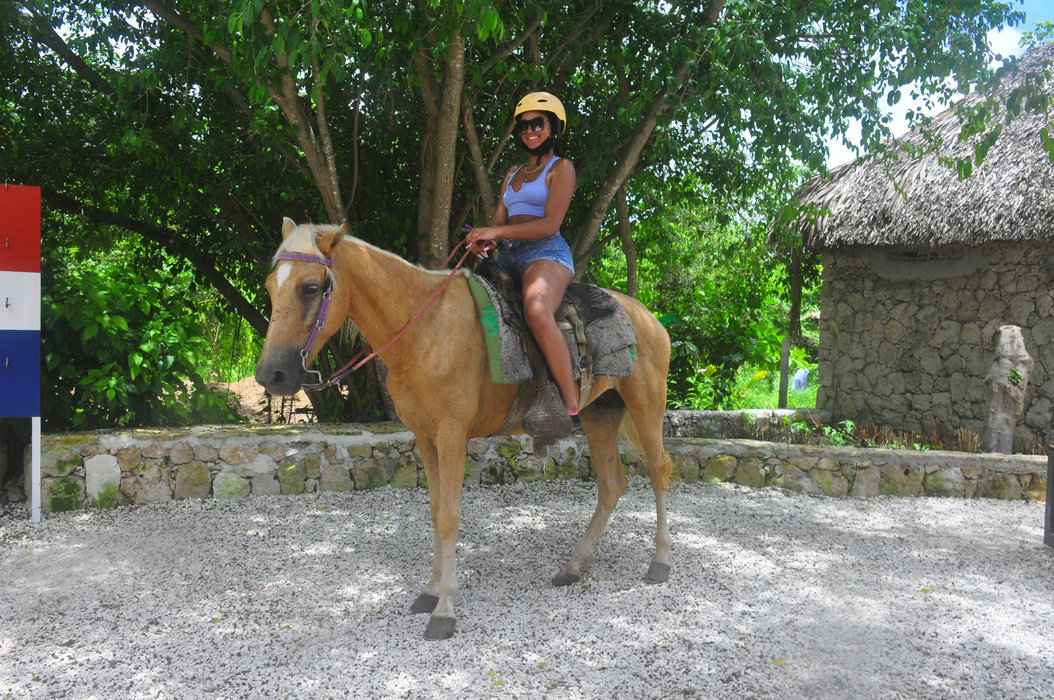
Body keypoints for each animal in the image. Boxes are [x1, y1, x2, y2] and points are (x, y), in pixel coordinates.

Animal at [250, 219, 670, 640]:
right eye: (270, 285)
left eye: (310, 287)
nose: (272, 375)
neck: (425, 330)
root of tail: (648, 317)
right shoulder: (425, 437)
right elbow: (436, 512)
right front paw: (429, 592)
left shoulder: (451, 434)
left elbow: (450, 517)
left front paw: (445, 609)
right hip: (600, 413)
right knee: (612, 484)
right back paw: (574, 565)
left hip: (646, 407)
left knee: (658, 472)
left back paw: (660, 562)